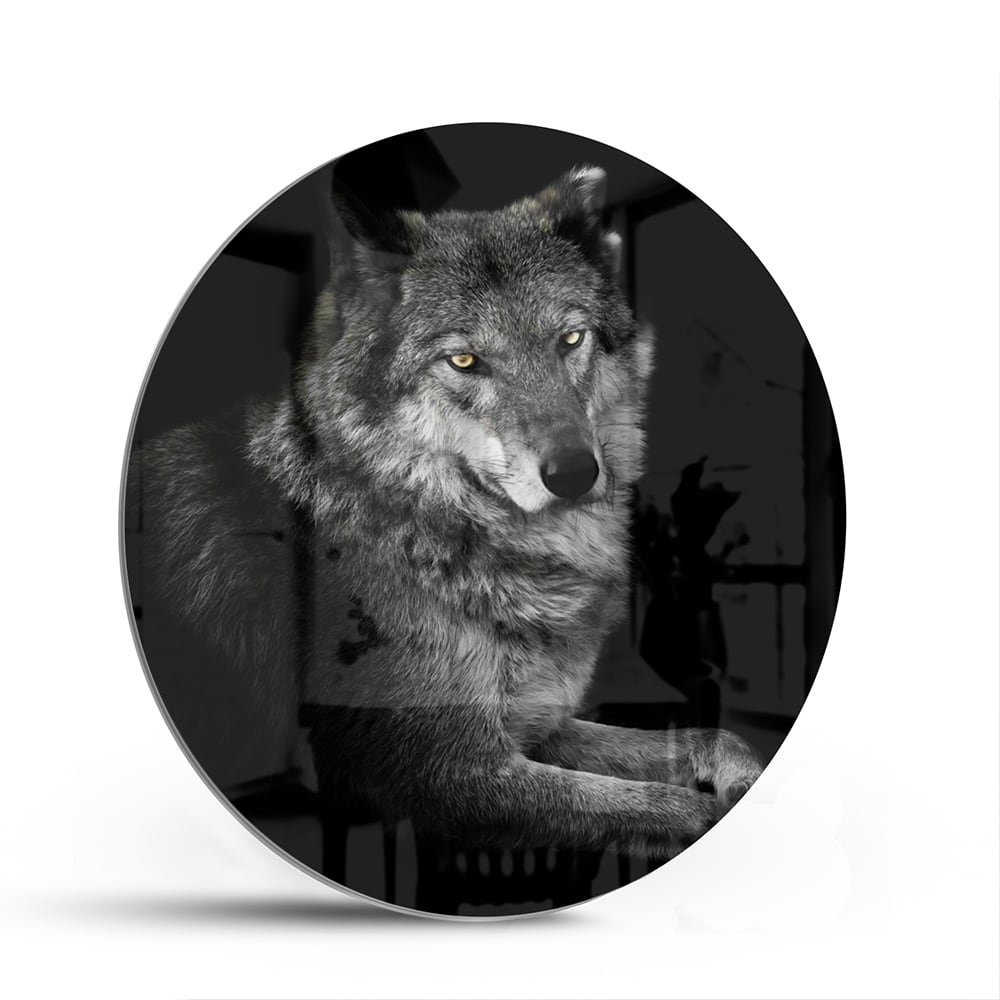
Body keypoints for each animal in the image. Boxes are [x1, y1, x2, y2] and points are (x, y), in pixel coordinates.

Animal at [132, 165, 762, 861]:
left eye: (570, 339)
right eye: (464, 360)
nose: (575, 473)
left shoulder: (537, 727)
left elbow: (711, 736)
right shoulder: (448, 773)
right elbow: (675, 808)